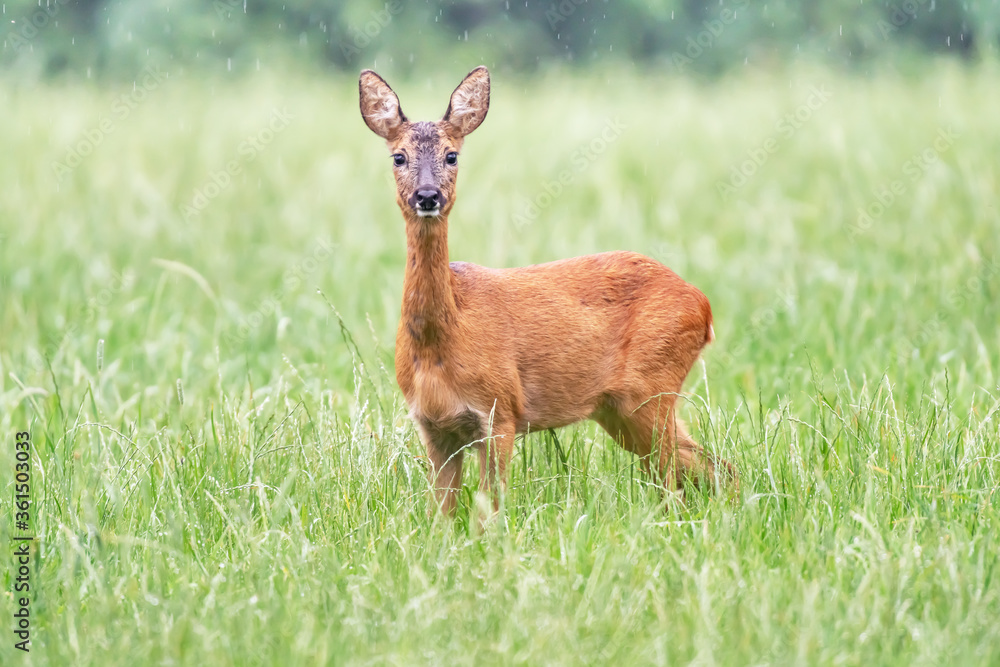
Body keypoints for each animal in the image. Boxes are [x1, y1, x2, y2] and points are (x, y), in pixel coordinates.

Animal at [359, 65, 737, 516]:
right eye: (398, 157)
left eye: (452, 155)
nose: (428, 195)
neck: (442, 341)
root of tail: (704, 305)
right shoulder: (433, 425)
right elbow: (442, 515)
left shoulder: (500, 410)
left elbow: (491, 507)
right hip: (619, 409)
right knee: (709, 467)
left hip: (650, 386)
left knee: (686, 475)